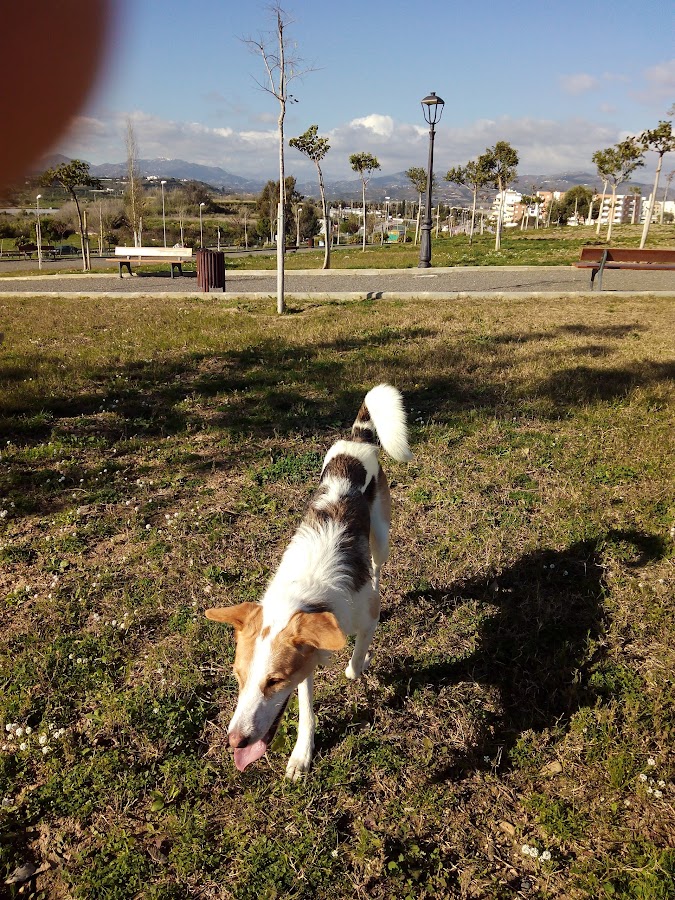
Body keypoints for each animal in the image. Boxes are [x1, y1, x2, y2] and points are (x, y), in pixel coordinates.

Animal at [205, 384, 412, 776]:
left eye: (274, 681)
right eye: (238, 677)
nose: (234, 742)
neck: (305, 596)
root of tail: (356, 438)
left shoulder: (361, 618)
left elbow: (355, 662)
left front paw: (359, 665)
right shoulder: (305, 663)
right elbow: (306, 710)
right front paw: (303, 753)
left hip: (382, 537)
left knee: (377, 567)